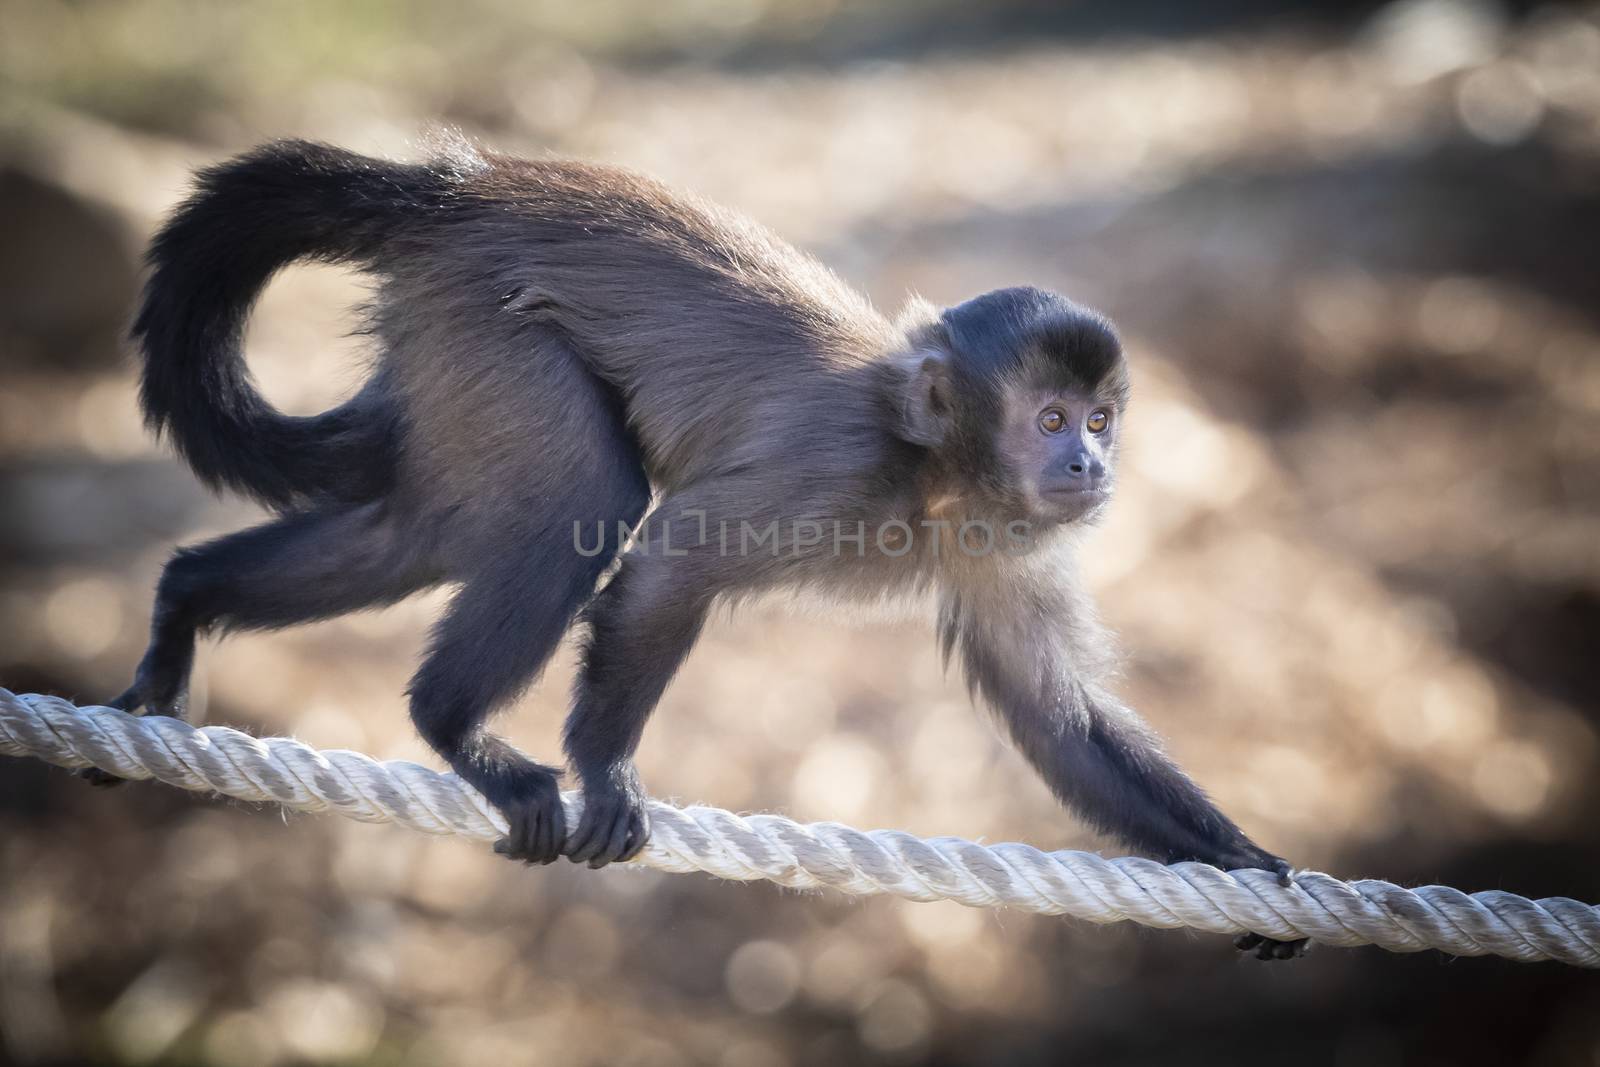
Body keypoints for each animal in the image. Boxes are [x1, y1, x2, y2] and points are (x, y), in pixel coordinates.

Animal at [103, 139, 1299, 959]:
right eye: (1049, 420)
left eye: (1099, 420)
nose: (1090, 464)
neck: (933, 470)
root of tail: (457, 186)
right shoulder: (833, 469)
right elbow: (672, 558)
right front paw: (604, 768)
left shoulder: (1005, 540)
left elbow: (1057, 714)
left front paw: (1249, 864)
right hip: (489, 326)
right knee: (572, 500)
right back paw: (456, 730)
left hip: (446, 354)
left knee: (419, 531)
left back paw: (183, 603)